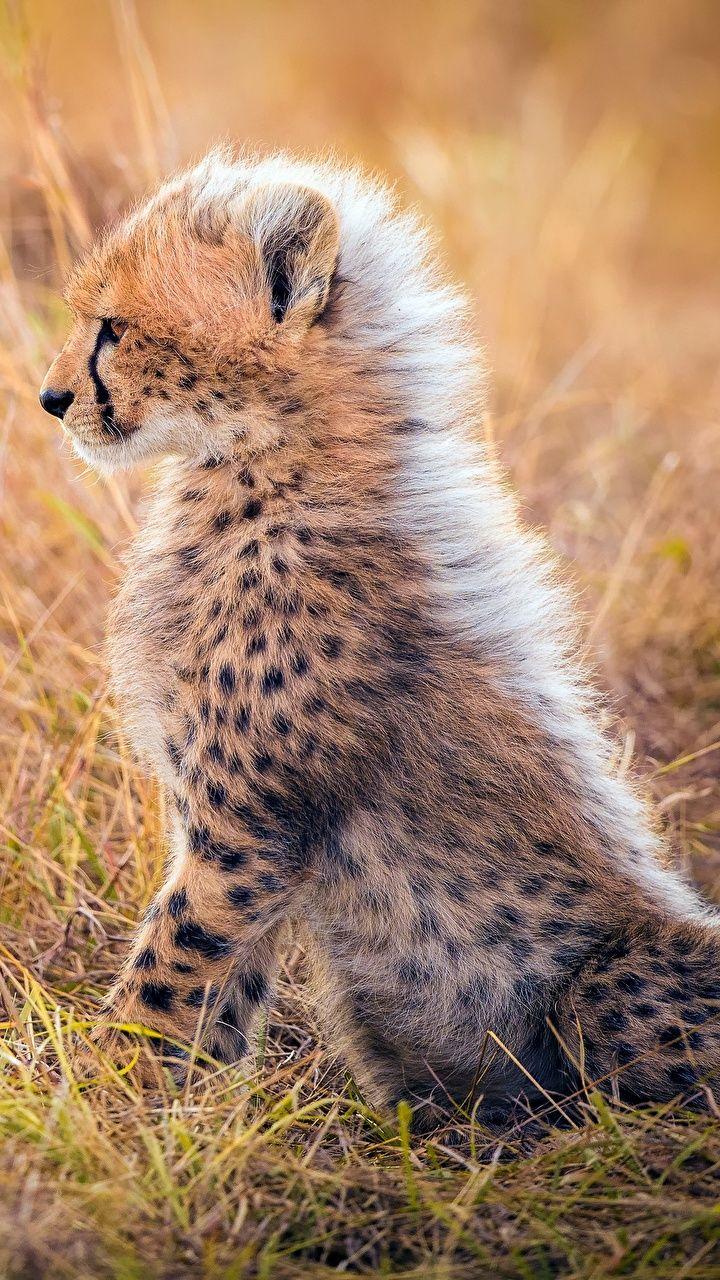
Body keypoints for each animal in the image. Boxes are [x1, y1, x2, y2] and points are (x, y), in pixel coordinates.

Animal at [39, 147, 720, 1129]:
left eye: (114, 329)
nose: (52, 399)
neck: (264, 469)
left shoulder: (246, 827)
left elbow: (169, 965)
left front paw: (99, 1099)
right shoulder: (245, 842)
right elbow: (222, 983)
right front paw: (182, 1114)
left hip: (605, 985)